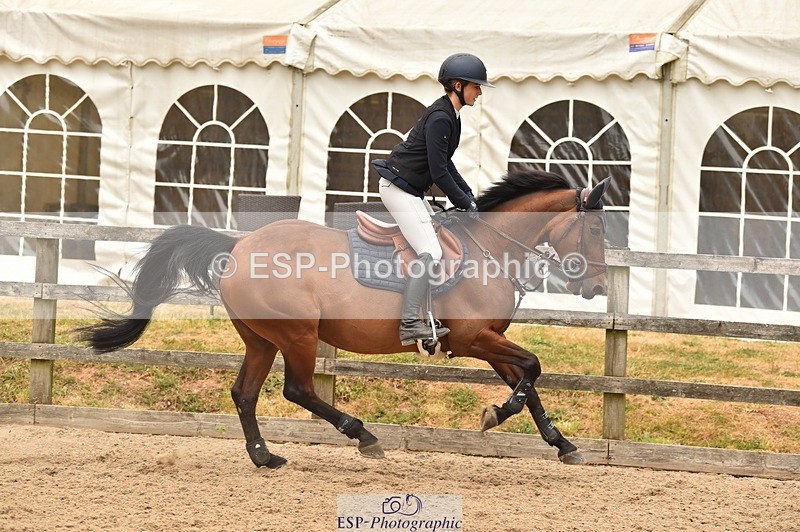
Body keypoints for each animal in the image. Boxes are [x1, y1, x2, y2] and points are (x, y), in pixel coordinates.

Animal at [81, 170, 610, 469]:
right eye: (597, 229)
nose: (598, 287)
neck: (490, 248)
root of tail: (239, 246)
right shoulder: (473, 338)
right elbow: (533, 369)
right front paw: (496, 414)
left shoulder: (490, 340)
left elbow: (528, 379)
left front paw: (561, 443)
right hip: (297, 335)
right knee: (297, 390)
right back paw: (364, 436)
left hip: (262, 340)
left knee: (244, 393)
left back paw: (265, 457)